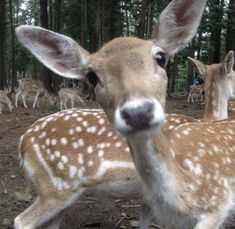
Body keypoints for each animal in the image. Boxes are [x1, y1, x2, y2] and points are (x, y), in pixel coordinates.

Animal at [16, 0, 235, 228]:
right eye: (91, 76)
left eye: (160, 57)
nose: (139, 112)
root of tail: (23, 142)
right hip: (56, 187)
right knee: (22, 220)